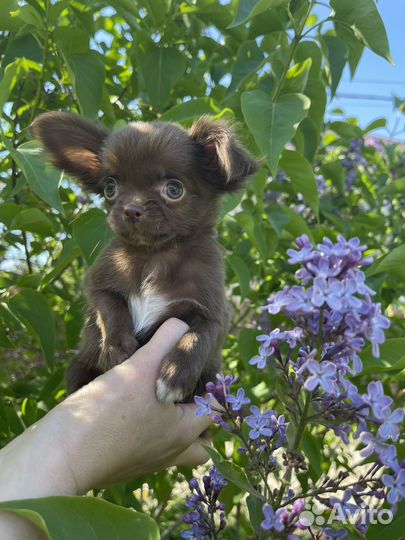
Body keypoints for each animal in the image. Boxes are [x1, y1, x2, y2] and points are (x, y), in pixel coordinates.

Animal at [33, 113, 258, 400]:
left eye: (173, 189)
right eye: (110, 187)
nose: (131, 209)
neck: (155, 256)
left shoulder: (215, 313)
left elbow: (200, 335)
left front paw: (176, 375)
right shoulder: (97, 284)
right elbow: (111, 307)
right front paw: (117, 347)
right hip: (77, 368)